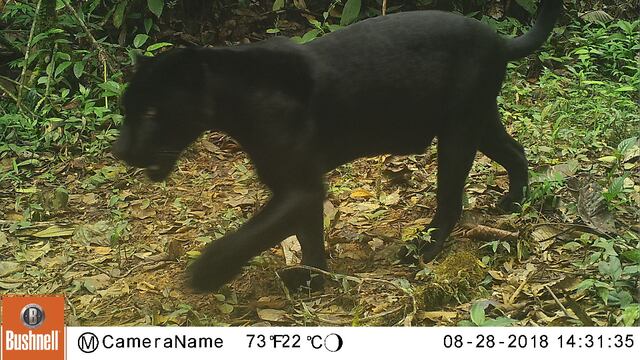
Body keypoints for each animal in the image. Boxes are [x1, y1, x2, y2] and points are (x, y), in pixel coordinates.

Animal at [112, 0, 564, 292]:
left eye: (151, 112)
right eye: (126, 109)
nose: (121, 150)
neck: (236, 97)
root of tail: (499, 39)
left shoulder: (300, 186)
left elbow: (253, 234)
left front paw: (206, 274)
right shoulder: (296, 186)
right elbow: (308, 234)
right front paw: (314, 278)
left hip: (458, 133)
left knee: (452, 198)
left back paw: (423, 249)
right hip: (478, 122)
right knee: (515, 152)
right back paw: (514, 203)